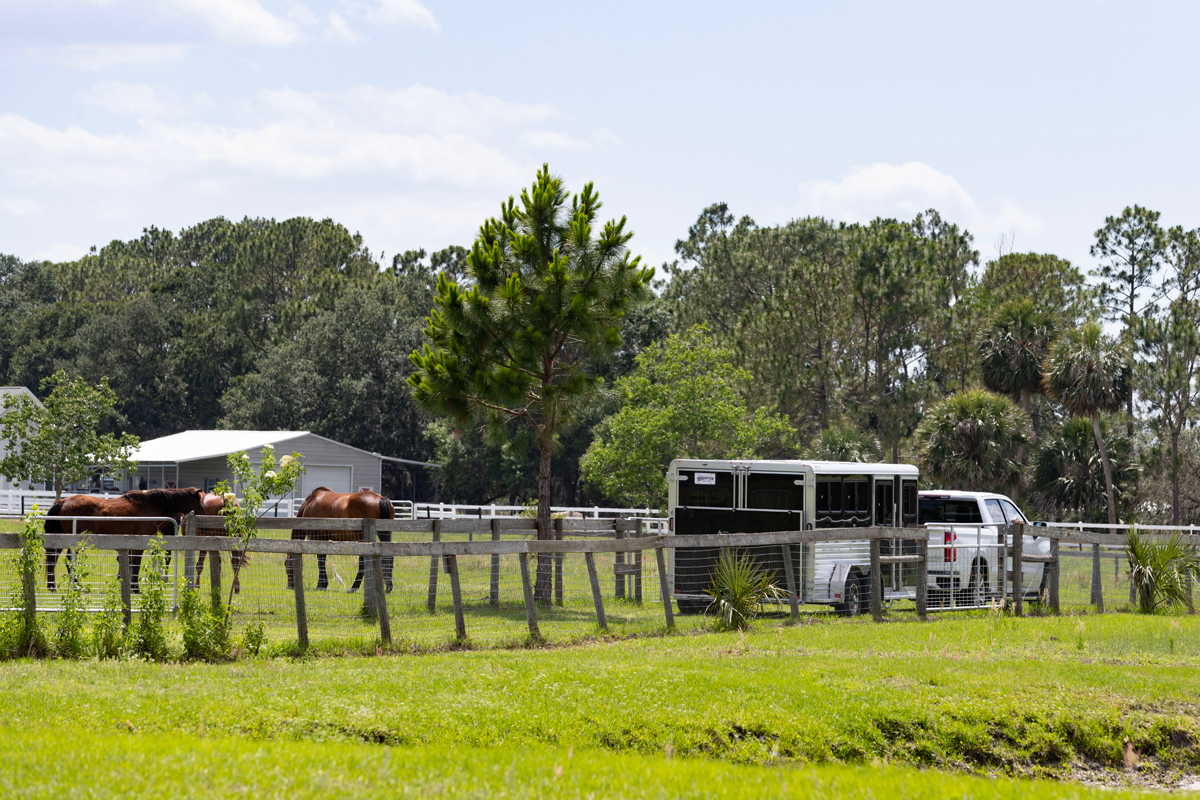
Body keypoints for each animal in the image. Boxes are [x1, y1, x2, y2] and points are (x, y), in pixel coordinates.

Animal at [43, 484, 205, 592]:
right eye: (199, 502)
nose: (203, 518)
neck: (150, 505)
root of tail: (62, 502)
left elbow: (131, 564)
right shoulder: (139, 542)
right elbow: (136, 564)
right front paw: (135, 588)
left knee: (53, 561)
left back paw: (53, 587)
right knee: (67, 562)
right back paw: (73, 585)